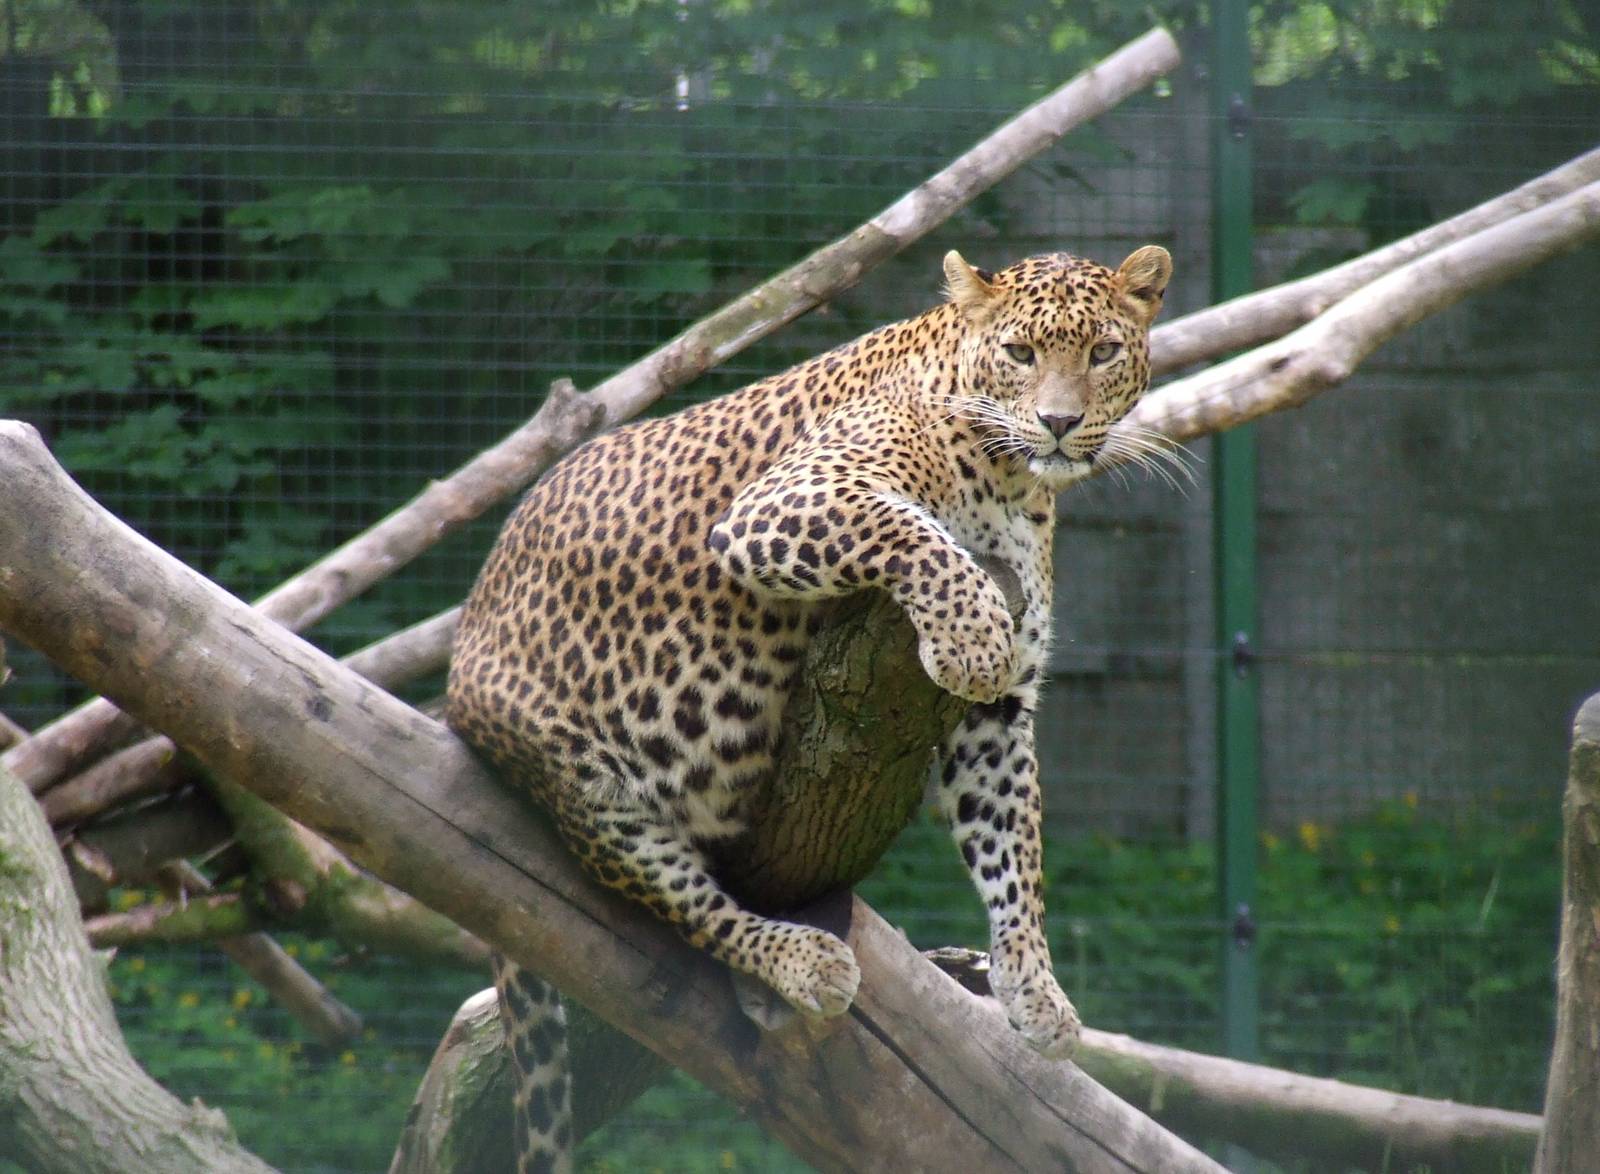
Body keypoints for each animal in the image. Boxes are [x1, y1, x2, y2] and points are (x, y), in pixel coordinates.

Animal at [446, 243, 1173, 1172]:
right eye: (1019, 354)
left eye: (1103, 353)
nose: (1055, 422)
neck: (1010, 479)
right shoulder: (786, 503)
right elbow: (913, 534)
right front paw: (968, 634)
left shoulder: (999, 719)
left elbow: (1015, 847)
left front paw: (1032, 988)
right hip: (585, 786)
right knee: (685, 904)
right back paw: (800, 961)